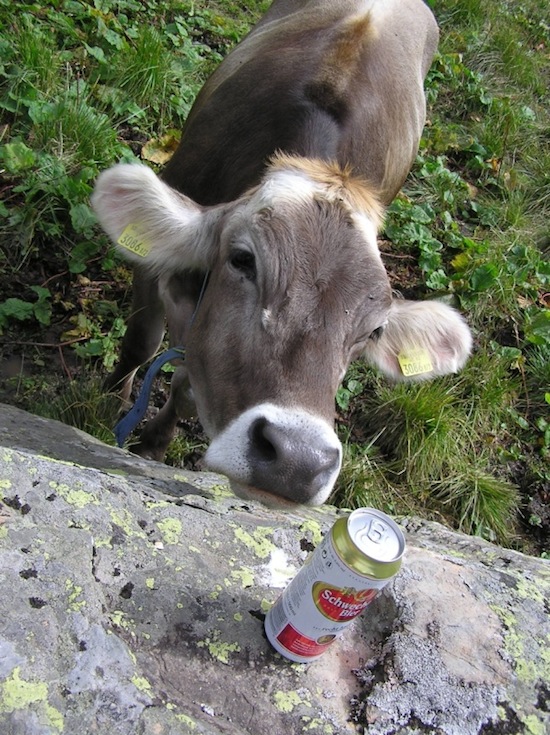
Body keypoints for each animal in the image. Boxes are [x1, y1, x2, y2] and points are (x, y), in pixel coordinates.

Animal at [92, 0, 472, 507]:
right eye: (243, 260)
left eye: (374, 331)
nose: (298, 461)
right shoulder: (154, 268)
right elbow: (141, 340)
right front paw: (109, 399)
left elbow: (187, 387)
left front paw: (154, 442)